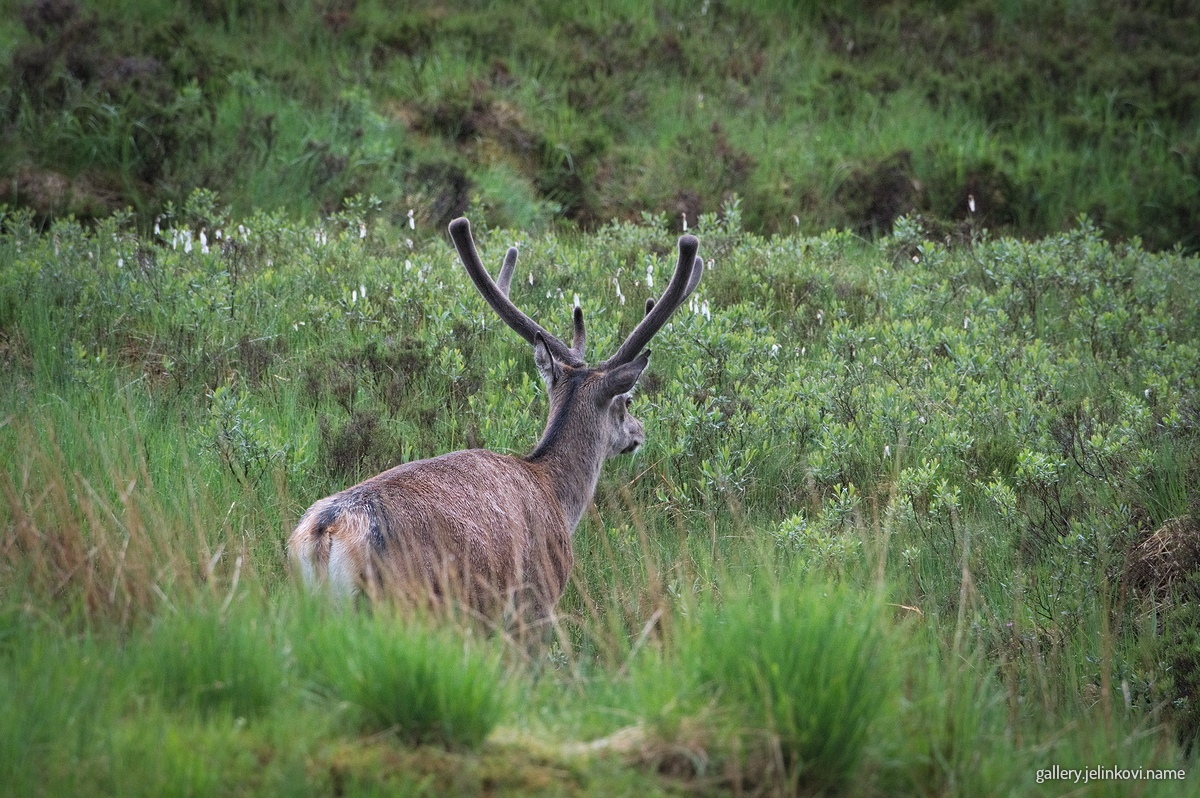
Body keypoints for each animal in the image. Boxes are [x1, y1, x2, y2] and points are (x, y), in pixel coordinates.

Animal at [288, 217, 703, 626]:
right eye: (627, 400)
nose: (639, 432)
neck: (557, 495)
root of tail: (326, 532)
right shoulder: (536, 599)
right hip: (406, 604)